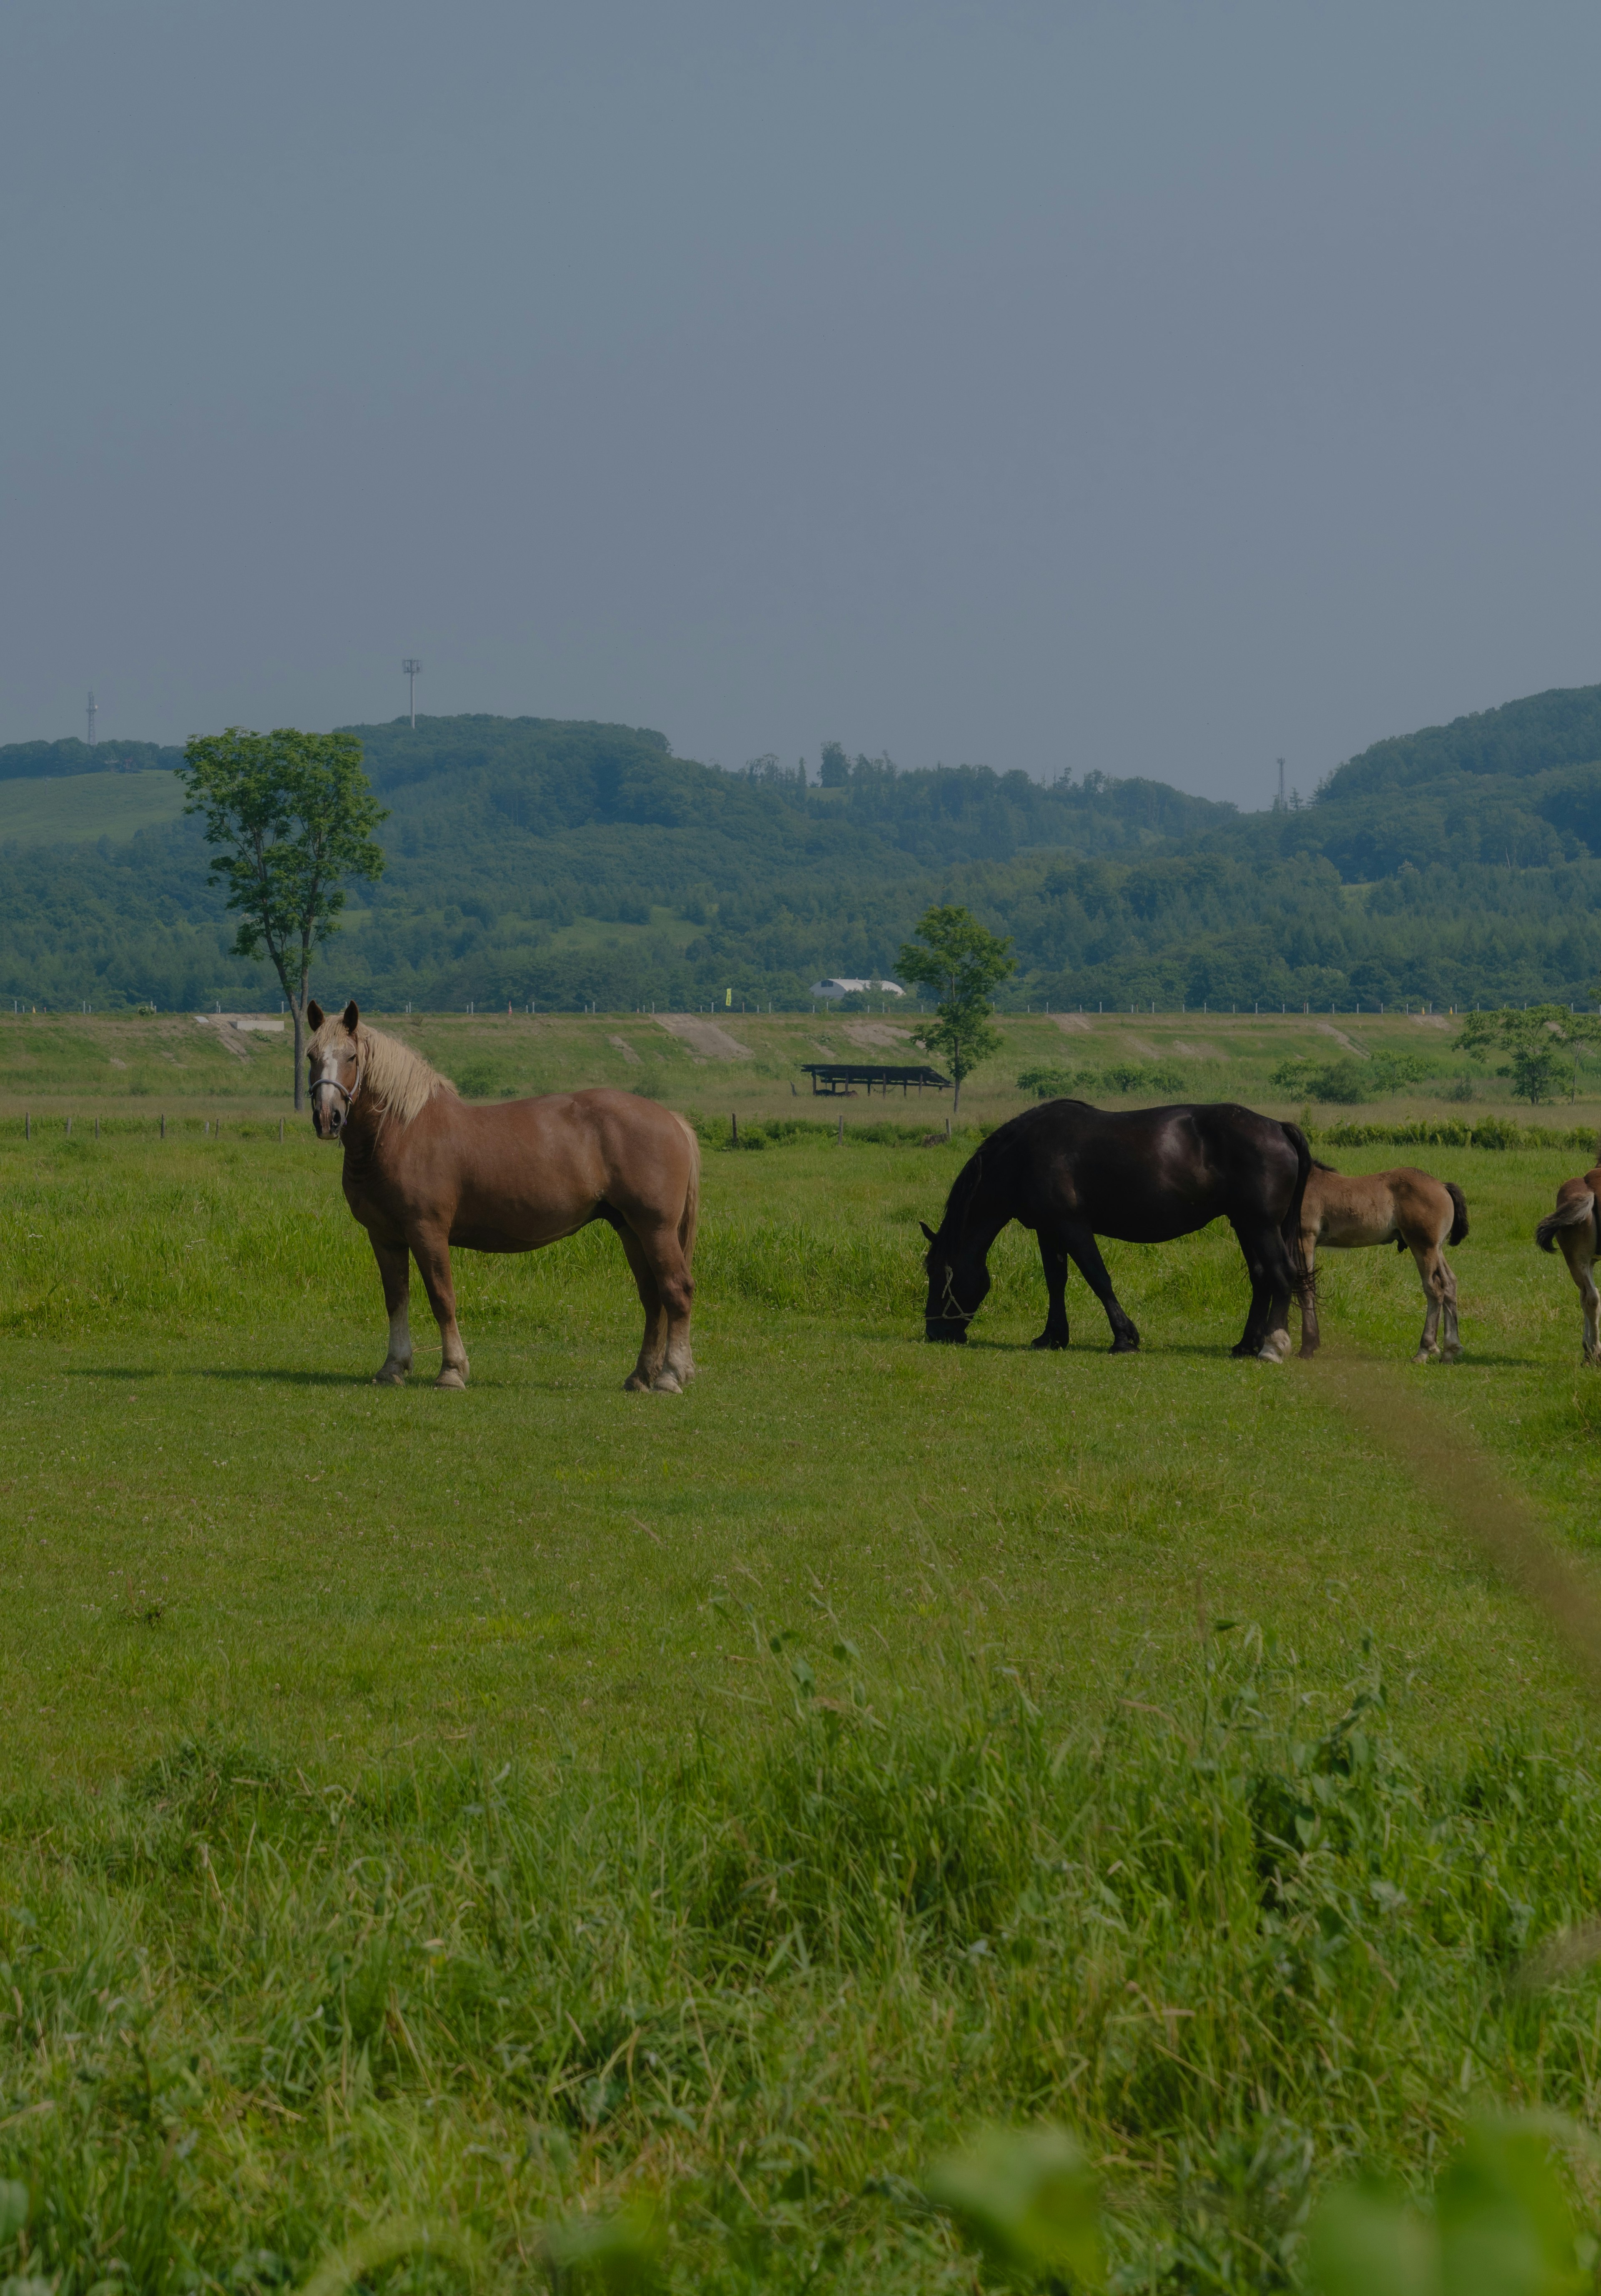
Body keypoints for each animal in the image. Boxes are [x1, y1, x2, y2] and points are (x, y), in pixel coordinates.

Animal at [303, 996, 698, 1387]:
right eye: (311, 1056)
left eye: (352, 1056)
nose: (327, 1118)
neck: (402, 1131)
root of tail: (673, 1119)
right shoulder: (385, 1237)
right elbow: (396, 1299)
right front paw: (393, 1367)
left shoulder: (427, 1231)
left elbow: (442, 1298)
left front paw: (452, 1370)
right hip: (630, 1229)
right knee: (652, 1297)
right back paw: (641, 1376)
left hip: (656, 1229)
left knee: (676, 1291)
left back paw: (670, 1375)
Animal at [923, 1097, 1314, 1350]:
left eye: (937, 1272)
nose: (934, 1332)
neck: (1025, 1156)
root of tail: (1279, 1128)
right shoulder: (1049, 1232)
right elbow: (1056, 1281)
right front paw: (1052, 1337)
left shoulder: (1073, 1227)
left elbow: (1098, 1278)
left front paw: (1124, 1337)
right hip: (1246, 1225)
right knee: (1262, 1277)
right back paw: (1246, 1344)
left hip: (1261, 1226)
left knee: (1281, 1274)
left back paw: (1272, 1346)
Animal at [1295, 1166, 1470, 1359]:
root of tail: (1442, 1186)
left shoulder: (1305, 1238)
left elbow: (1305, 1289)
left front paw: (1306, 1348)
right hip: (1437, 1249)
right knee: (1450, 1284)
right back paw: (1450, 1350)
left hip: (1424, 1247)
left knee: (1435, 1288)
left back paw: (1425, 1349)